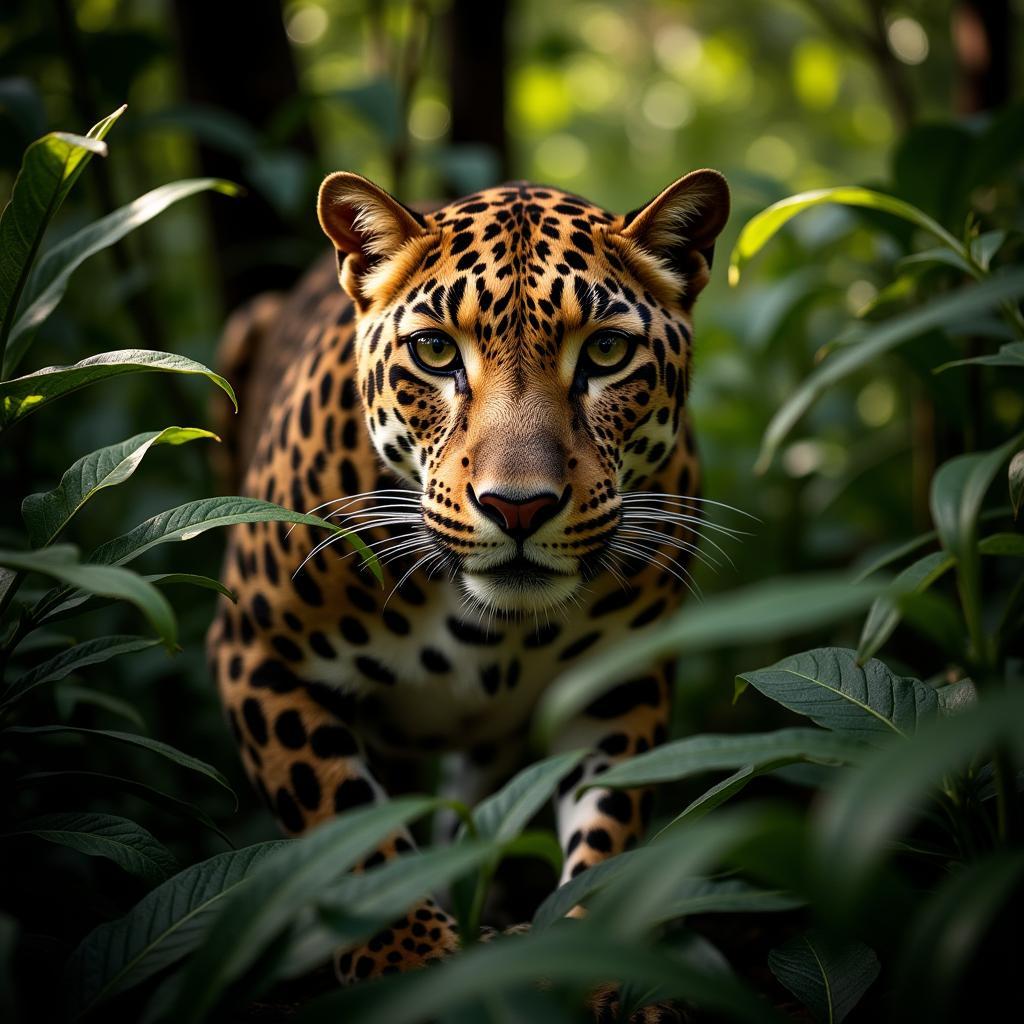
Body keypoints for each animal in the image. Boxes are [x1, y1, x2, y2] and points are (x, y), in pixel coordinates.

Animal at [205, 163, 729, 1019]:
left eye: (607, 351)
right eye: (433, 351)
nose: (518, 506)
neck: (491, 624)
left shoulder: (619, 687)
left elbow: (610, 835)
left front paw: (593, 967)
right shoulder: (255, 653)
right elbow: (350, 827)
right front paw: (409, 964)